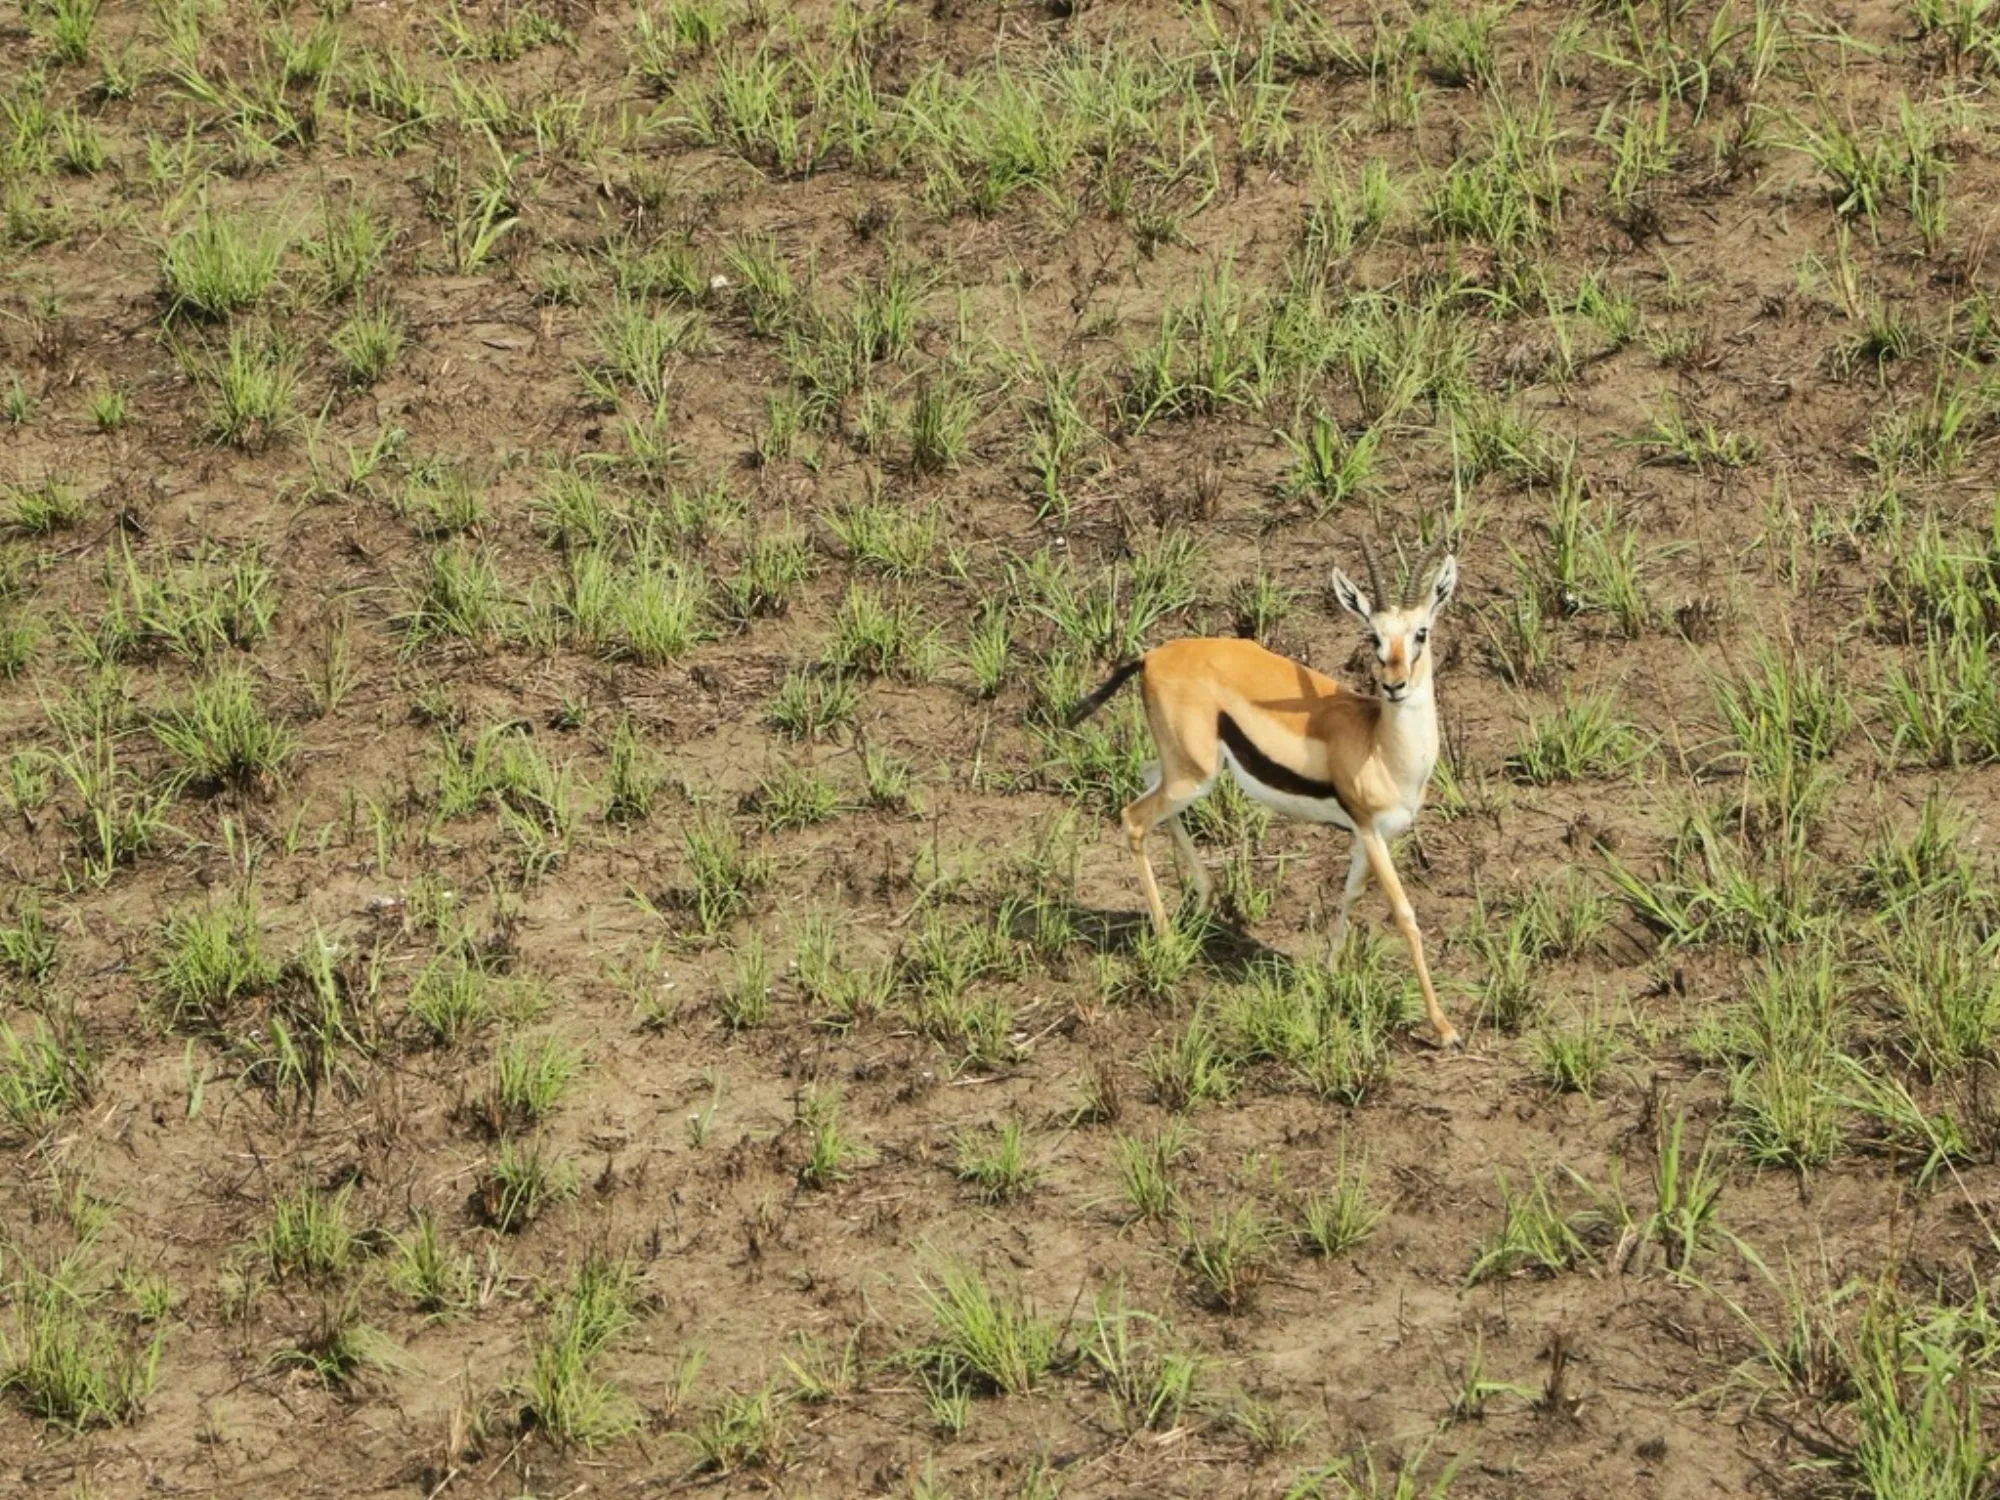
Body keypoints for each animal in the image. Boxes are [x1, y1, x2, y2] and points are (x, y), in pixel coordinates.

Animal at [1067, 533, 1463, 1049]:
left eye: (1421, 632)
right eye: (1373, 637)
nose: (1394, 685)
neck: (1380, 743)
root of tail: (1151, 657)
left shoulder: (1372, 835)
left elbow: (1351, 894)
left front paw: (1329, 974)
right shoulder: (1369, 828)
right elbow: (1404, 914)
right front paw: (1444, 1027)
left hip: (1187, 770)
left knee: (1145, 776)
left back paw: (1205, 899)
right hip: (1193, 777)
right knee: (1134, 818)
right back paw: (1169, 939)